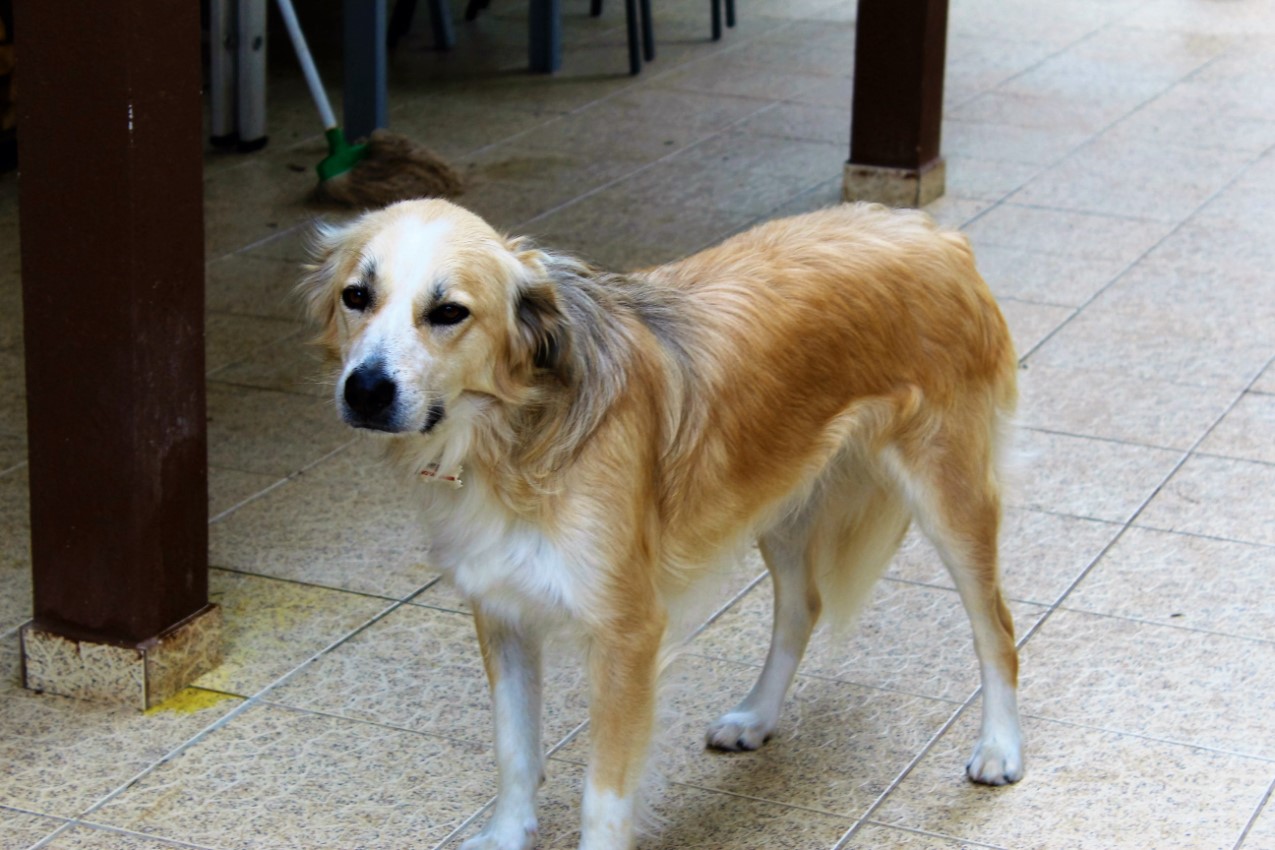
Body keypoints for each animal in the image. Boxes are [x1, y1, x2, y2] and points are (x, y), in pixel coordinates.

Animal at [300, 201, 1025, 850]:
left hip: (949, 495)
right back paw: (757, 715)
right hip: (778, 498)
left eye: (448, 312)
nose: (365, 390)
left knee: (994, 626)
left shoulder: (628, 635)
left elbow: (603, 796)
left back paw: (999, 746)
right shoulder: (502, 613)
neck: (509, 439)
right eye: (356, 296)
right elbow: (514, 751)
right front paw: (507, 836)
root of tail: (933, 230)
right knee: (801, 606)